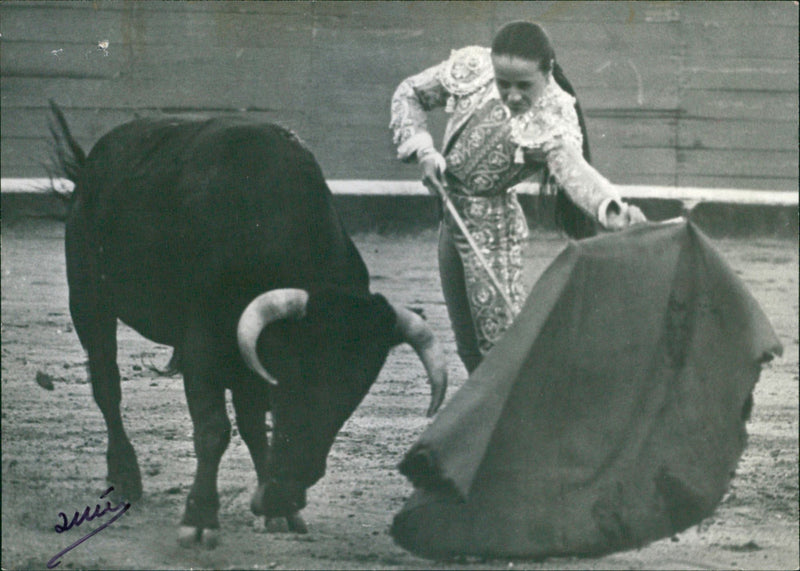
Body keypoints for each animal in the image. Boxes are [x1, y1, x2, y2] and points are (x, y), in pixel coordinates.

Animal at [48, 105, 450, 548]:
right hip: (89, 300)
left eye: (353, 395)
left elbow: (254, 426)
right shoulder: (203, 342)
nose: (289, 488)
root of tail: (94, 160)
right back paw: (124, 476)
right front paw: (200, 518)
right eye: (295, 376)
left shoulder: (251, 354)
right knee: (107, 385)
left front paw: (280, 510)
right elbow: (214, 429)